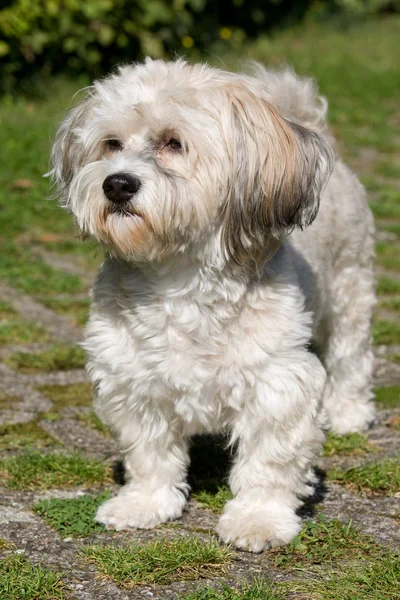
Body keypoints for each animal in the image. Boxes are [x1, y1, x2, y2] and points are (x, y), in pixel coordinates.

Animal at [50, 58, 376, 552]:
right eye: (111, 144)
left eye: (173, 143)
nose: (117, 183)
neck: (180, 279)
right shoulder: (131, 380)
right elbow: (149, 453)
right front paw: (142, 504)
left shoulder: (277, 384)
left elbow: (269, 462)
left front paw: (258, 519)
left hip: (350, 287)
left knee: (351, 355)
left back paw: (348, 412)